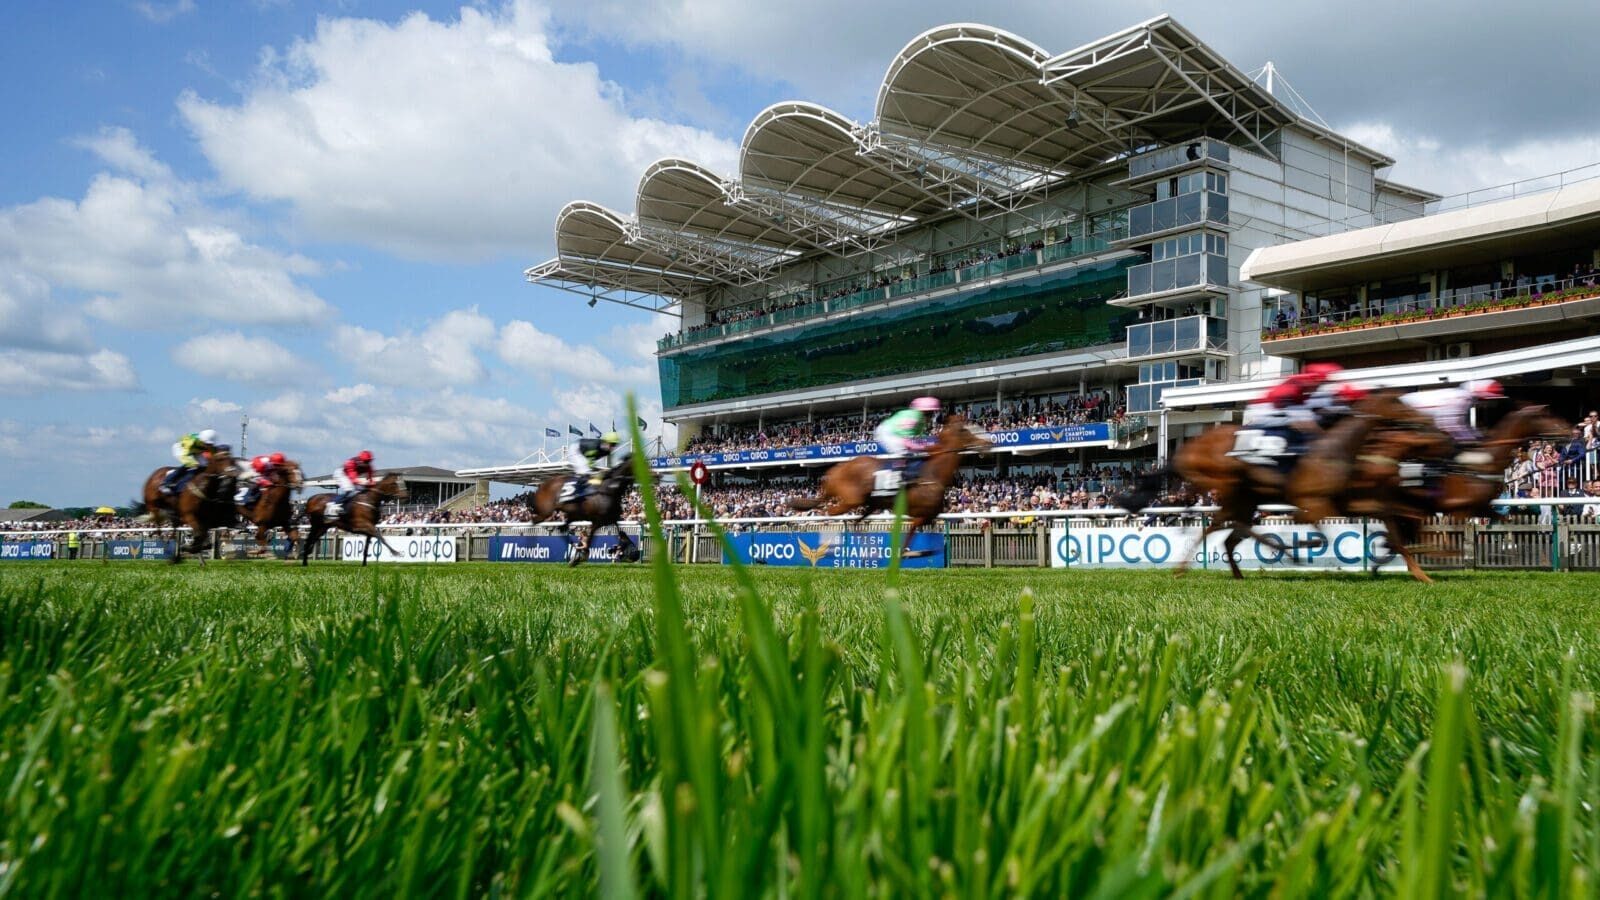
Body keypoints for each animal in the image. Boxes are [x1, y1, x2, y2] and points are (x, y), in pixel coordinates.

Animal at [784, 413, 985, 547]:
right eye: (964, 430)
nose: (987, 443)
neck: (933, 473)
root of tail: (835, 470)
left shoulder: (929, 517)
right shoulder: (918, 516)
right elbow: (908, 540)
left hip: (871, 503)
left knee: (853, 522)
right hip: (851, 499)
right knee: (830, 513)